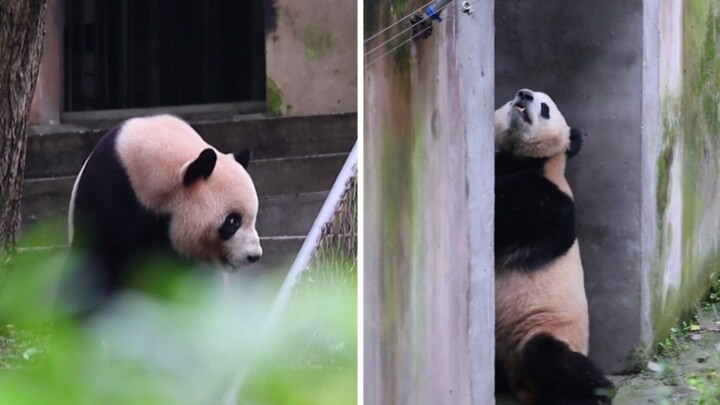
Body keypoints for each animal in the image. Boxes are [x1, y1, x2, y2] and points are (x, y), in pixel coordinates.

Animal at [496, 89, 612, 404]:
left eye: (545, 107)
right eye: (510, 99)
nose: (523, 94)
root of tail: (522, 386)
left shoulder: (550, 201)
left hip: (545, 327)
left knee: (548, 356)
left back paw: (599, 393)